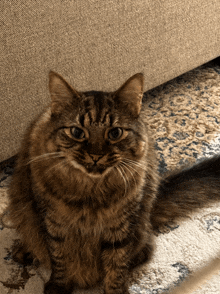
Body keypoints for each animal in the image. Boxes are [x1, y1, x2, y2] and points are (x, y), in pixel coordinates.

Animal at [7, 72, 220, 294]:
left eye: (115, 133)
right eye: (77, 132)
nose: (95, 155)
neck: (90, 193)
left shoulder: (120, 230)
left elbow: (116, 268)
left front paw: (116, 289)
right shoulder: (54, 225)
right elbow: (60, 260)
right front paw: (58, 287)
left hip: (140, 224)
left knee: (146, 249)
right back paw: (25, 252)